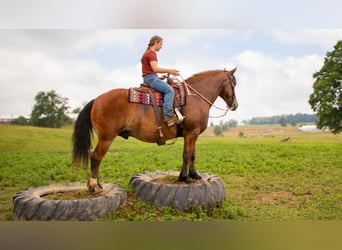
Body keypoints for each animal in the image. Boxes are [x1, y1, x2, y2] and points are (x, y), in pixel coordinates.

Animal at [72, 67, 238, 192]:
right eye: (234, 83)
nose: (235, 104)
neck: (195, 97)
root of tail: (96, 99)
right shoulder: (192, 132)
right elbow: (187, 155)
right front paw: (186, 178)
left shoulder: (191, 134)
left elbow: (192, 155)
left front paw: (193, 175)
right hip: (106, 137)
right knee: (96, 157)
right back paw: (94, 186)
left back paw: (97, 185)